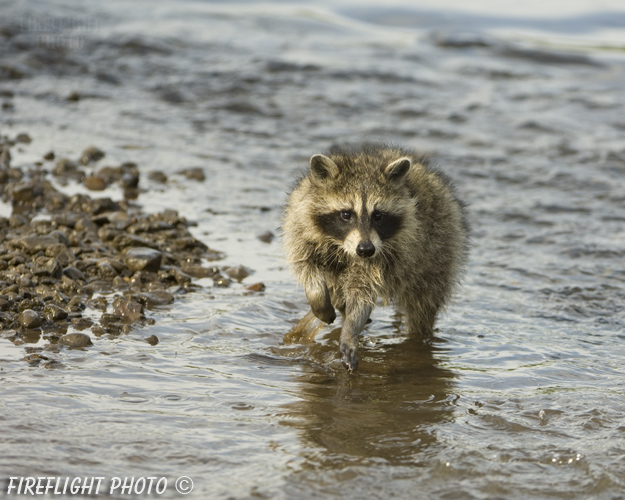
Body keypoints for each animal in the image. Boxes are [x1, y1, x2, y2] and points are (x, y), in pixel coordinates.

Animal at [282, 145, 468, 372]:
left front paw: (351, 330)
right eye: (346, 214)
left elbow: (363, 292)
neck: (342, 245)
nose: (365, 250)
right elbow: (305, 266)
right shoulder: (300, 225)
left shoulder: (382, 254)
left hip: (437, 254)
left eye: (378, 216)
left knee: (423, 304)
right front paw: (317, 297)